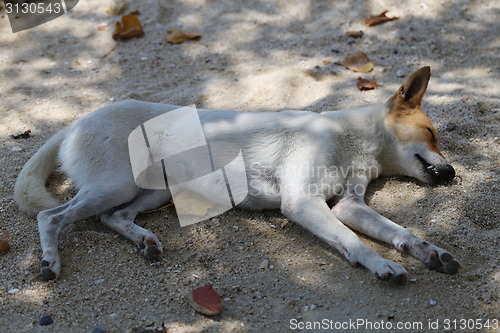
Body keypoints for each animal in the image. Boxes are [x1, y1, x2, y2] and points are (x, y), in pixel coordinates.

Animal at [13, 65, 458, 282]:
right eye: (432, 134)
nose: (453, 173)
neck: (352, 138)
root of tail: (76, 122)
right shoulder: (303, 203)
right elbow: (354, 241)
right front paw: (383, 266)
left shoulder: (347, 205)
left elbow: (399, 232)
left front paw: (429, 252)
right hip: (116, 184)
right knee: (50, 216)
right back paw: (50, 262)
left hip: (155, 190)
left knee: (114, 217)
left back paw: (146, 242)